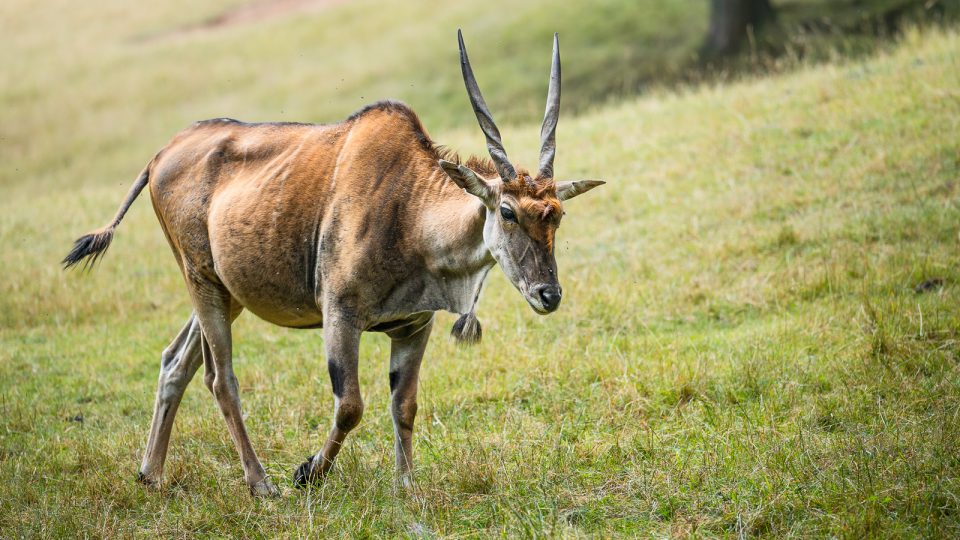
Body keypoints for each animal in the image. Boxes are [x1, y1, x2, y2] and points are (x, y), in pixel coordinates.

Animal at [63, 28, 600, 494]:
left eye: (557, 214)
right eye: (507, 211)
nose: (548, 294)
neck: (410, 208)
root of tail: (161, 153)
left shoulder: (413, 326)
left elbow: (404, 404)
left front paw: (407, 486)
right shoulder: (340, 314)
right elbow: (351, 406)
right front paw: (308, 473)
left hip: (225, 292)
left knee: (176, 362)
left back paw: (151, 473)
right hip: (201, 280)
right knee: (222, 379)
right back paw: (261, 484)